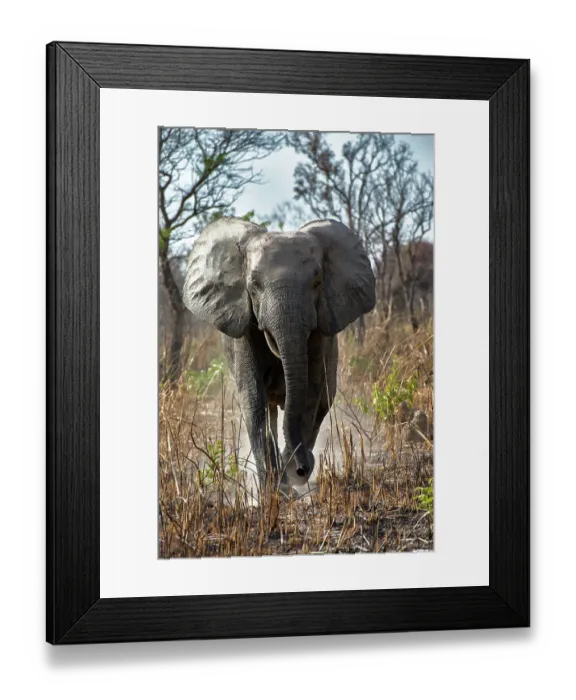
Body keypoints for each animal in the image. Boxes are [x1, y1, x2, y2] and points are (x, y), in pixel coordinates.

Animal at [183, 217, 375, 496]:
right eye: (254, 285)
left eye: (317, 283)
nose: (302, 469)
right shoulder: (244, 330)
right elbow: (253, 399)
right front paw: (274, 492)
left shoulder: (319, 336)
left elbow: (310, 394)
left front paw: (290, 478)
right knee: (271, 411)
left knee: (322, 403)